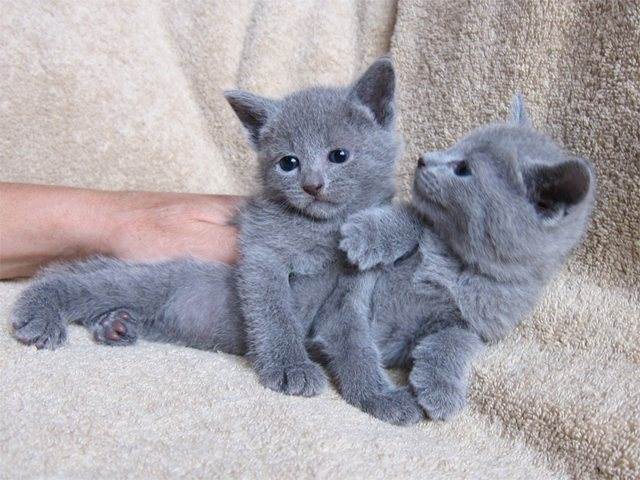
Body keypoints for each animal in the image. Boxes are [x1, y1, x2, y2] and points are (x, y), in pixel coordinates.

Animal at [11, 57, 423, 425]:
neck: (323, 229)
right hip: (159, 272)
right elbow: (274, 311)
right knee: (77, 280)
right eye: (288, 162)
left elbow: (356, 345)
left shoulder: (350, 295)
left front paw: (381, 398)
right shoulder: (261, 253)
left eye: (339, 155)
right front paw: (290, 367)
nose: (312, 185)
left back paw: (116, 325)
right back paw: (40, 312)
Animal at [338, 95, 596, 420]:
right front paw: (365, 235)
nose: (423, 158)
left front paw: (440, 390)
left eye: (462, 169)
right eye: (455, 146)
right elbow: (411, 217)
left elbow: (453, 342)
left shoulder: (476, 324)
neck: (455, 260)